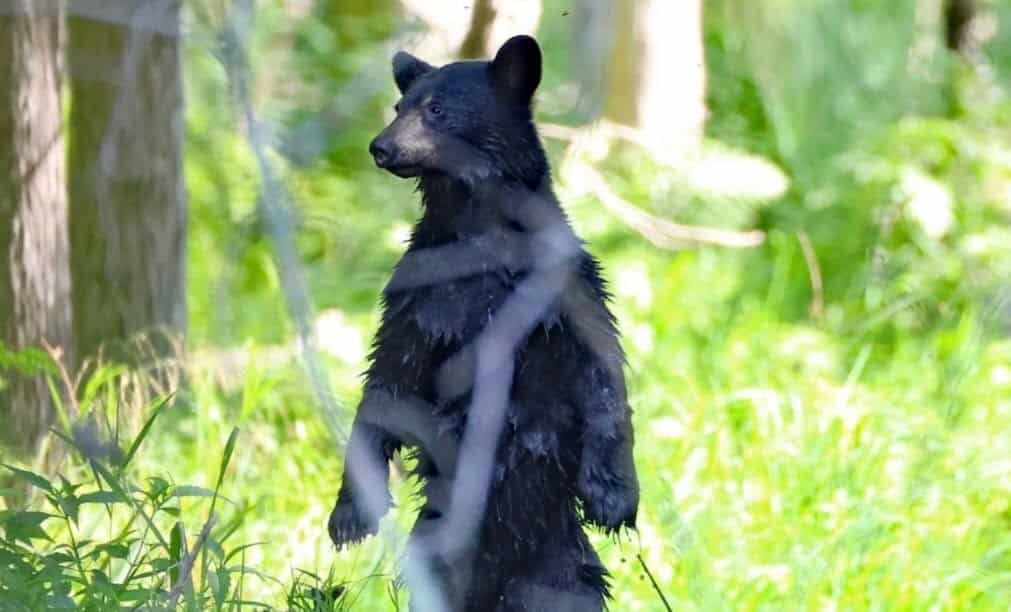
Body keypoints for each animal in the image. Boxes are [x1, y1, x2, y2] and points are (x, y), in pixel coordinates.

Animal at [328, 35, 638, 612]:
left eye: (437, 110)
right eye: (399, 106)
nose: (380, 147)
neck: (480, 235)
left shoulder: (566, 285)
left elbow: (601, 373)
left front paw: (613, 500)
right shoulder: (416, 299)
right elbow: (387, 381)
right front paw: (349, 516)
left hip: (562, 568)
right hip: (436, 552)